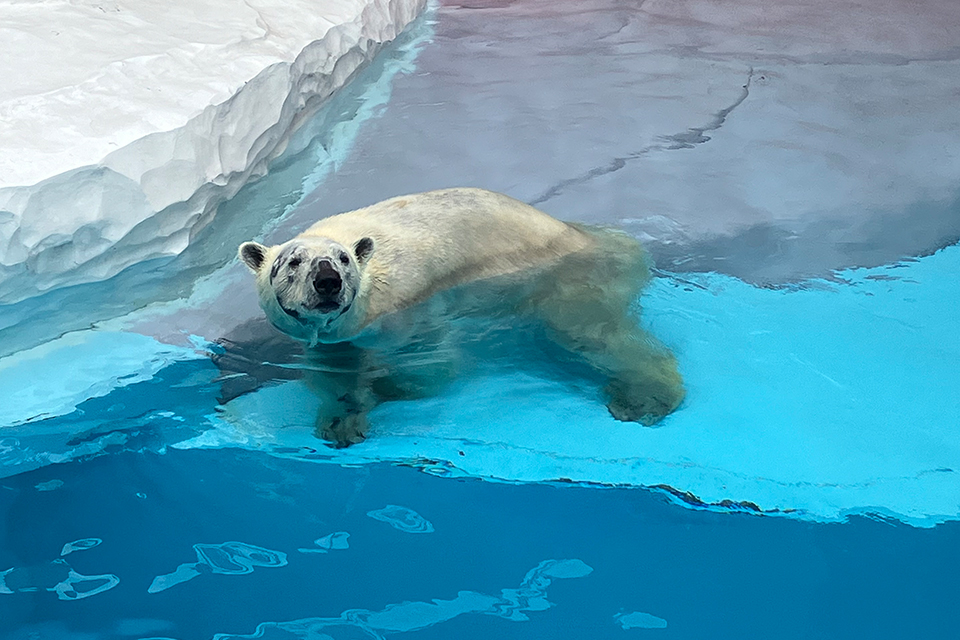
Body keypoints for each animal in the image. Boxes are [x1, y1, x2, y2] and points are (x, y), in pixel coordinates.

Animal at [244, 185, 688, 444]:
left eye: (343, 260)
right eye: (292, 262)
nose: (328, 281)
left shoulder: (410, 306)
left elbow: (431, 368)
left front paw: (380, 386)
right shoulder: (334, 333)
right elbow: (334, 367)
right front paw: (340, 419)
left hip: (567, 280)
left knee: (590, 333)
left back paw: (642, 398)